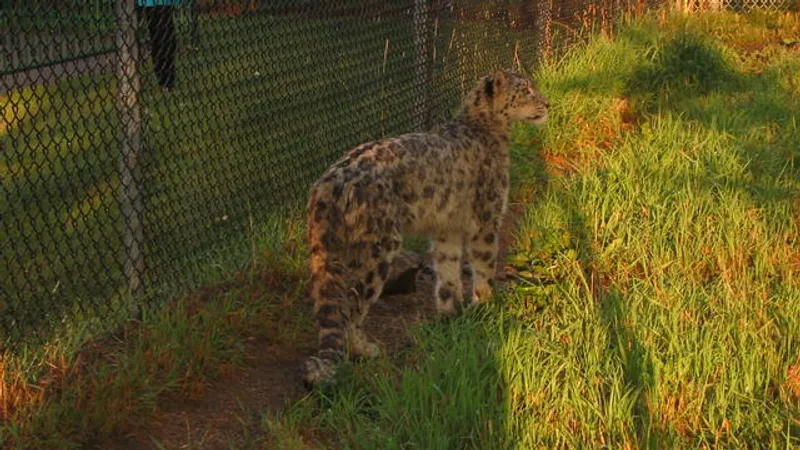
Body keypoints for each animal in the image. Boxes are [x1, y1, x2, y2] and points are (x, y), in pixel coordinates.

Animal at [302, 69, 549, 386]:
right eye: (525, 90)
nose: (547, 104)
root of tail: (326, 184)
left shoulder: (447, 229)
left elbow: (448, 273)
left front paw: (451, 314)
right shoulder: (487, 218)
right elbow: (484, 266)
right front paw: (486, 306)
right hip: (377, 249)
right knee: (352, 304)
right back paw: (366, 349)